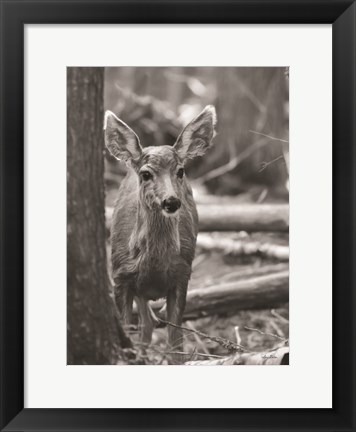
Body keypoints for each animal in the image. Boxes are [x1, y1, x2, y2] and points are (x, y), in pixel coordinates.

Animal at [103, 106, 217, 362]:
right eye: (146, 174)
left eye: (181, 171)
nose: (171, 201)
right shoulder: (120, 277)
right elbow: (128, 328)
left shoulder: (182, 275)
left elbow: (176, 346)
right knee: (146, 324)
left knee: (149, 323)